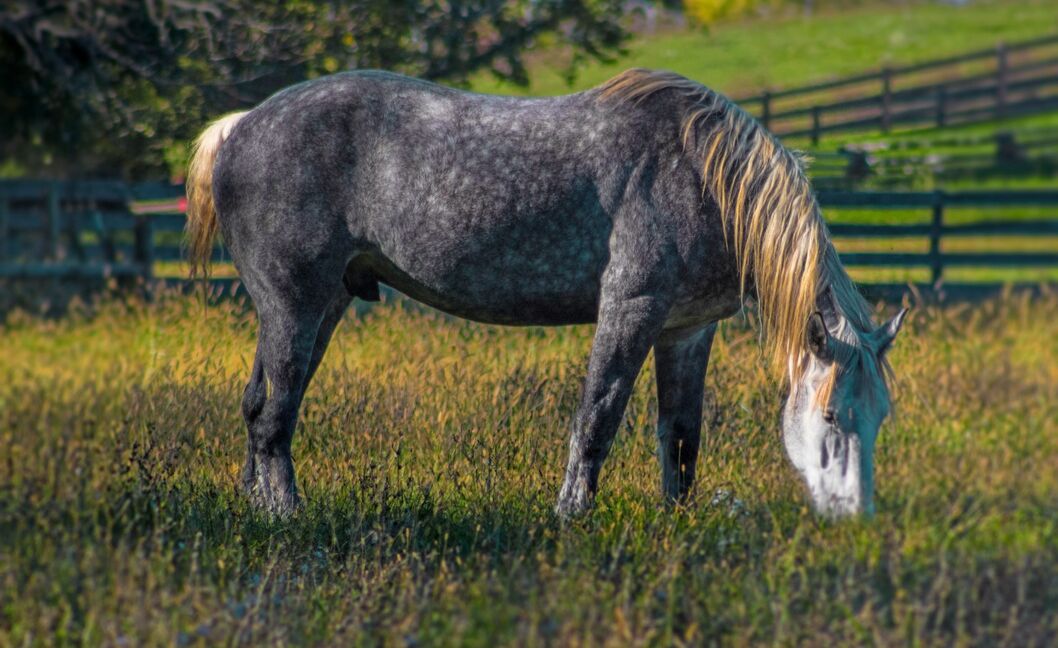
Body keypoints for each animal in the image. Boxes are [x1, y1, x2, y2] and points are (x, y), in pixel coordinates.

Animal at [186, 68, 905, 518]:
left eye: (880, 417)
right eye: (833, 415)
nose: (855, 517)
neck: (703, 176)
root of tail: (240, 127)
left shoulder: (686, 329)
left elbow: (681, 434)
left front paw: (677, 521)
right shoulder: (631, 309)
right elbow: (598, 417)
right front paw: (572, 515)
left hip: (318, 306)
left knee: (258, 406)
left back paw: (255, 507)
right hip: (295, 305)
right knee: (274, 416)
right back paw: (287, 515)